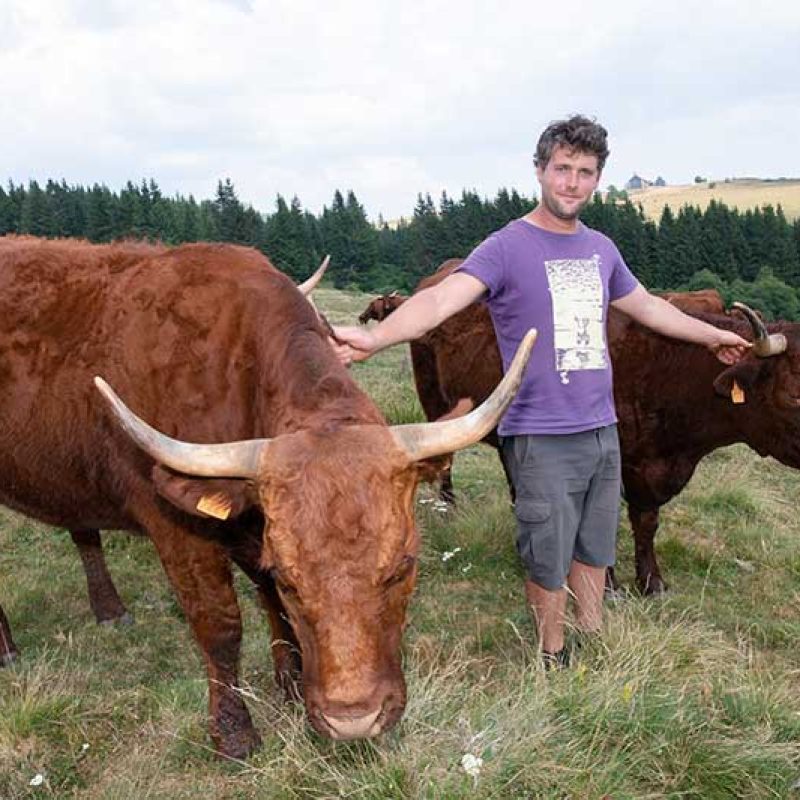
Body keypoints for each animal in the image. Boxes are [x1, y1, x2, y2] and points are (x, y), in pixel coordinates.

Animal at [1, 236, 536, 756]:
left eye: (403, 568)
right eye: (291, 580)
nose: (354, 720)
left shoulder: (256, 524)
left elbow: (266, 601)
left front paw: (292, 681)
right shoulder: (174, 525)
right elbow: (220, 624)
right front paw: (235, 732)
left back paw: (108, 610)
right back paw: (9, 647)